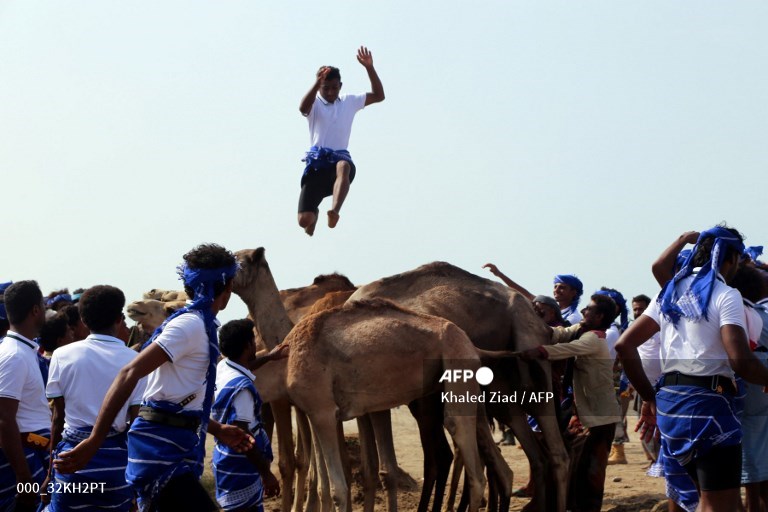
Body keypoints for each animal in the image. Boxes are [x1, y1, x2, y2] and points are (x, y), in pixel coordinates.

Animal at [284, 298, 492, 512]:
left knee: (463, 443)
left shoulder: (321, 410)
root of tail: (468, 342)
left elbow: (337, 490)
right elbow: (323, 484)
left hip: (457, 361)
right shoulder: (316, 411)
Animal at [352, 264, 572, 512]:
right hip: (500, 386)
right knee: (535, 455)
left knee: (557, 452)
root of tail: (544, 324)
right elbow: (369, 467)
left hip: (530, 348)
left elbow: (407, 464)